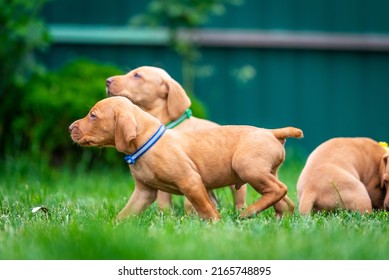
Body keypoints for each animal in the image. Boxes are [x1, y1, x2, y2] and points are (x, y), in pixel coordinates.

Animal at [69, 96, 304, 221]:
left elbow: (206, 209)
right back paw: (280, 219)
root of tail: (273, 132)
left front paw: (216, 225)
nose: (70, 127)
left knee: (279, 189)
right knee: (284, 200)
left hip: (248, 168)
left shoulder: (190, 182)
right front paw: (112, 227)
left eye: (93, 115)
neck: (146, 143)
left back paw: (248, 213)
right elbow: (125, 214)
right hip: (265, 173)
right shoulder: (144, 193)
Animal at [105, 65, 246, 210]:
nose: (107, 81)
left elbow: (189, 201)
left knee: (239, 195)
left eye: (137, 75)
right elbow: (164, 201)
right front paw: (166, 214)